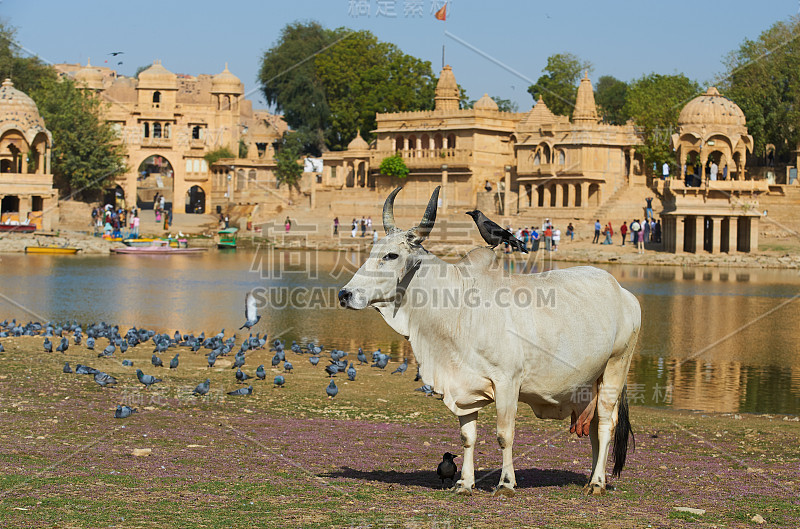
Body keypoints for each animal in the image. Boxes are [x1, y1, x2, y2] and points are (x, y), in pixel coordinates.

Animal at [340, 187, 640, 496]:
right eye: (371, 251)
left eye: (391, 255)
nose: (345, 294)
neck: (458, 306)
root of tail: (624, 293)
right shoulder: (462, 387)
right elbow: (467, 437)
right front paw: (464, 483)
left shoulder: (508, 381)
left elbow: (504, 435)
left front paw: (506, 482)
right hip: (590, 381)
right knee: (592, 428)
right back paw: (593, 477)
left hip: (616, 368)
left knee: (605, 424)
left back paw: (597, 483)